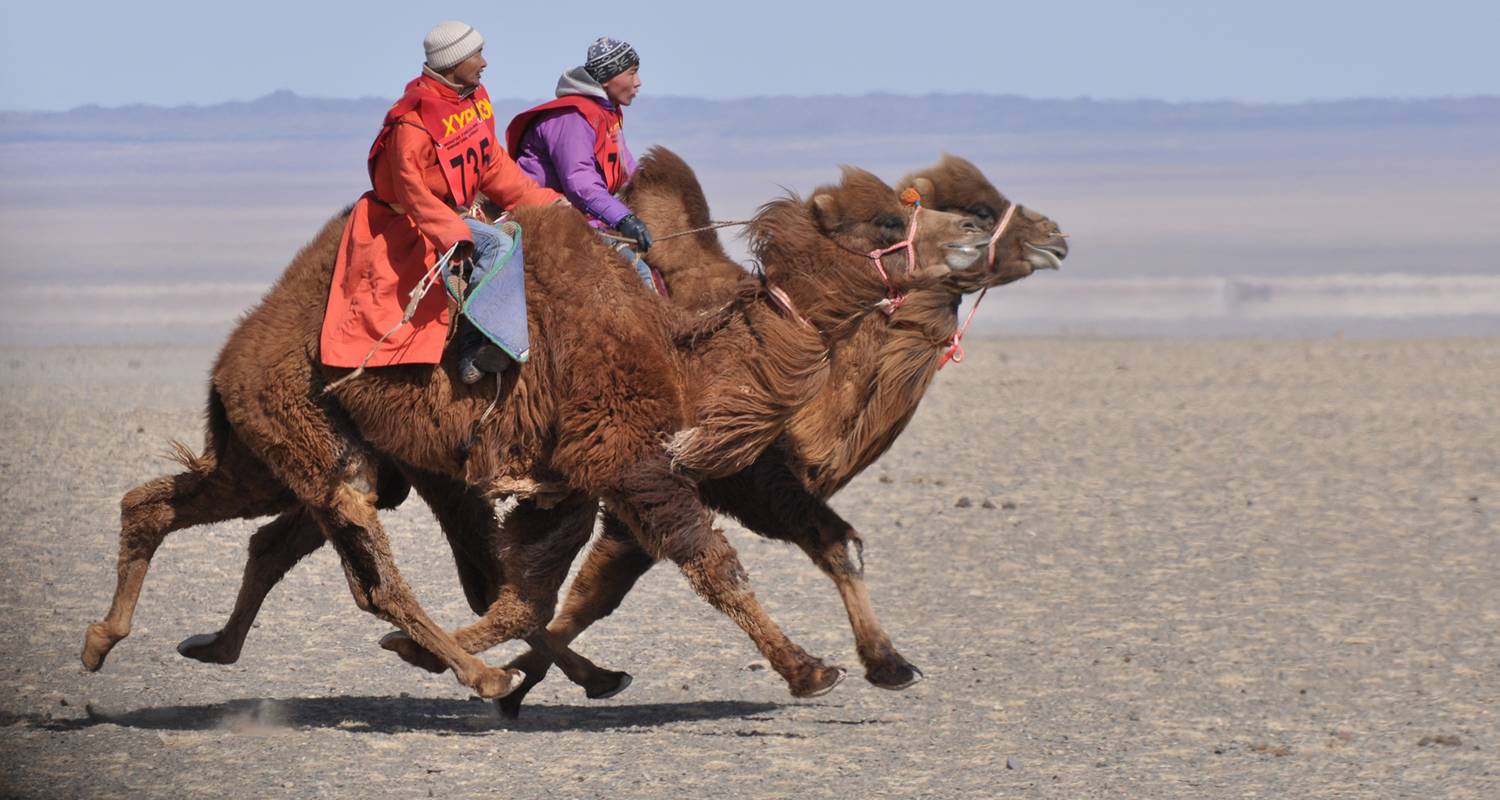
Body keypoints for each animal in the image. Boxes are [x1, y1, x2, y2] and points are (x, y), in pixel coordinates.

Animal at [85, 153, 996, 702]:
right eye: (889, 223)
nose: (982, 227)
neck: (692, 353)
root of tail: (234, 352)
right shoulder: (626, 457)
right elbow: (709, 567)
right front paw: (811, 670)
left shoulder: (574, 482)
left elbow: (529, 594)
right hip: (311, 437)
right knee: (371, 573)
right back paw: (478, 678)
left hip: (288, 450)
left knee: (177, 509)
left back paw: (135, 642)